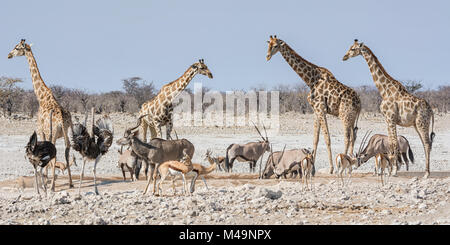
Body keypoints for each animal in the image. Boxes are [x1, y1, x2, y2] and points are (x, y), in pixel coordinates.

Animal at [7, 39, 74, 189]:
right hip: (68, 131)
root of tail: (61, 119)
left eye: (17, 47)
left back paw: (52, 186)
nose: (8, 55)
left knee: (55, 153)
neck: (41, 97)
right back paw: (71, 183)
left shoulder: (40, 130)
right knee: (67, 150)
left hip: (52, 133)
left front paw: (46, 179)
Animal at [268, 36, 362, 174]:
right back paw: (350, 164)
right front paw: (312, 166)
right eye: (268, 45)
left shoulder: (321, 109)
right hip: (352, 117)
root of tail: (360, 103)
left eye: (275, 46)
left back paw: (343, 165)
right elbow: (315, 139)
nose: (267, 56)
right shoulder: (316, 111)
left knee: (347, 137)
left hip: (345, 115)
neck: (310, 80)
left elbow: (327, 138)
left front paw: (331, 169)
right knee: (353, 136)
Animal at [342, 39, 434, 178]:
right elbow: (390, 142)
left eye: (353, 49)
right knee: (425, 143)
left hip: (422, 123)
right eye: (349, 47)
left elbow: (394, 143)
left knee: (427, 144)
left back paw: (427, 173)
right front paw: (391, 170)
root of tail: (431, 110)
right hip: (417, 125)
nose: (344, 57)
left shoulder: (390, 118)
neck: (384, 90)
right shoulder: (387, 119)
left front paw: (394, 170)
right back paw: (425, 171)